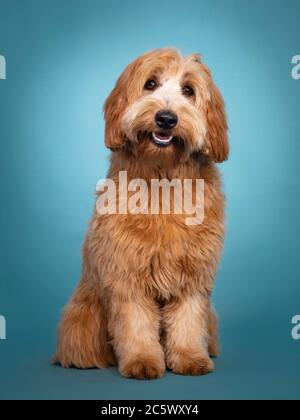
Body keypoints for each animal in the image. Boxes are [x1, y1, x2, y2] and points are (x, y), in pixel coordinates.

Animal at [54, 47, 227, 378]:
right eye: (150, 84)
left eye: (188, 90)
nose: (166, 118)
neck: (162, 177)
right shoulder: (126, 274)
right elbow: (135, 322)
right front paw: (142, 361)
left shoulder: (194, 277)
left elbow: (187, 320)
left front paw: (190, 358)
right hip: (85, 314)